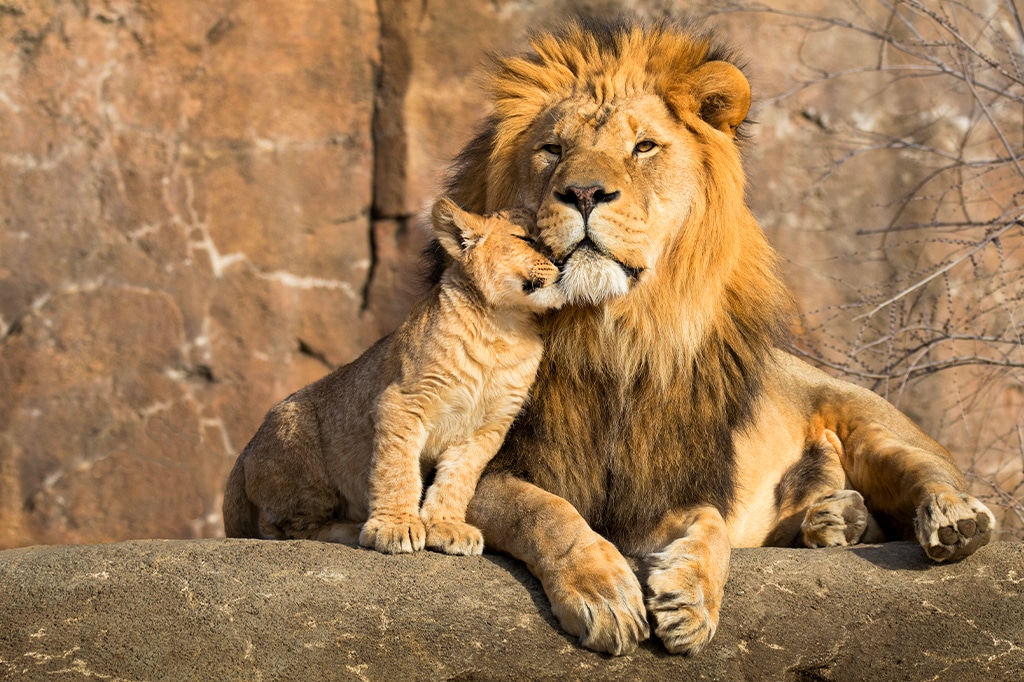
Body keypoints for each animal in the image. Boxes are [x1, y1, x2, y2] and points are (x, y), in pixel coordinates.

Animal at [222, 198, 563, 556]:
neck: (504, 328)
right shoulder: (403, 400)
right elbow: (397, 468)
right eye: (526, 239)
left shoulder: (488, 428)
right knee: (286, 529)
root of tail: (243, 453)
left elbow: (458, 479)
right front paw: (395, 527)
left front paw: (447, 526)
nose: (562, 261)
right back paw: (351, 528)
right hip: (301, 445)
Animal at [436, 17, 997, 656]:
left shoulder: (664, 486)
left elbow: (708, 524)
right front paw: (605, 593)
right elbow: (546, 511)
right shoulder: (483, 469)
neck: (611, 335)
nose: (582, 193)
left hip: (871, 425)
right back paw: (833, 519)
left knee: (929, 473)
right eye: (552, 150)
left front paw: (691, 601)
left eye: (643, 147)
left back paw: (951, 519)